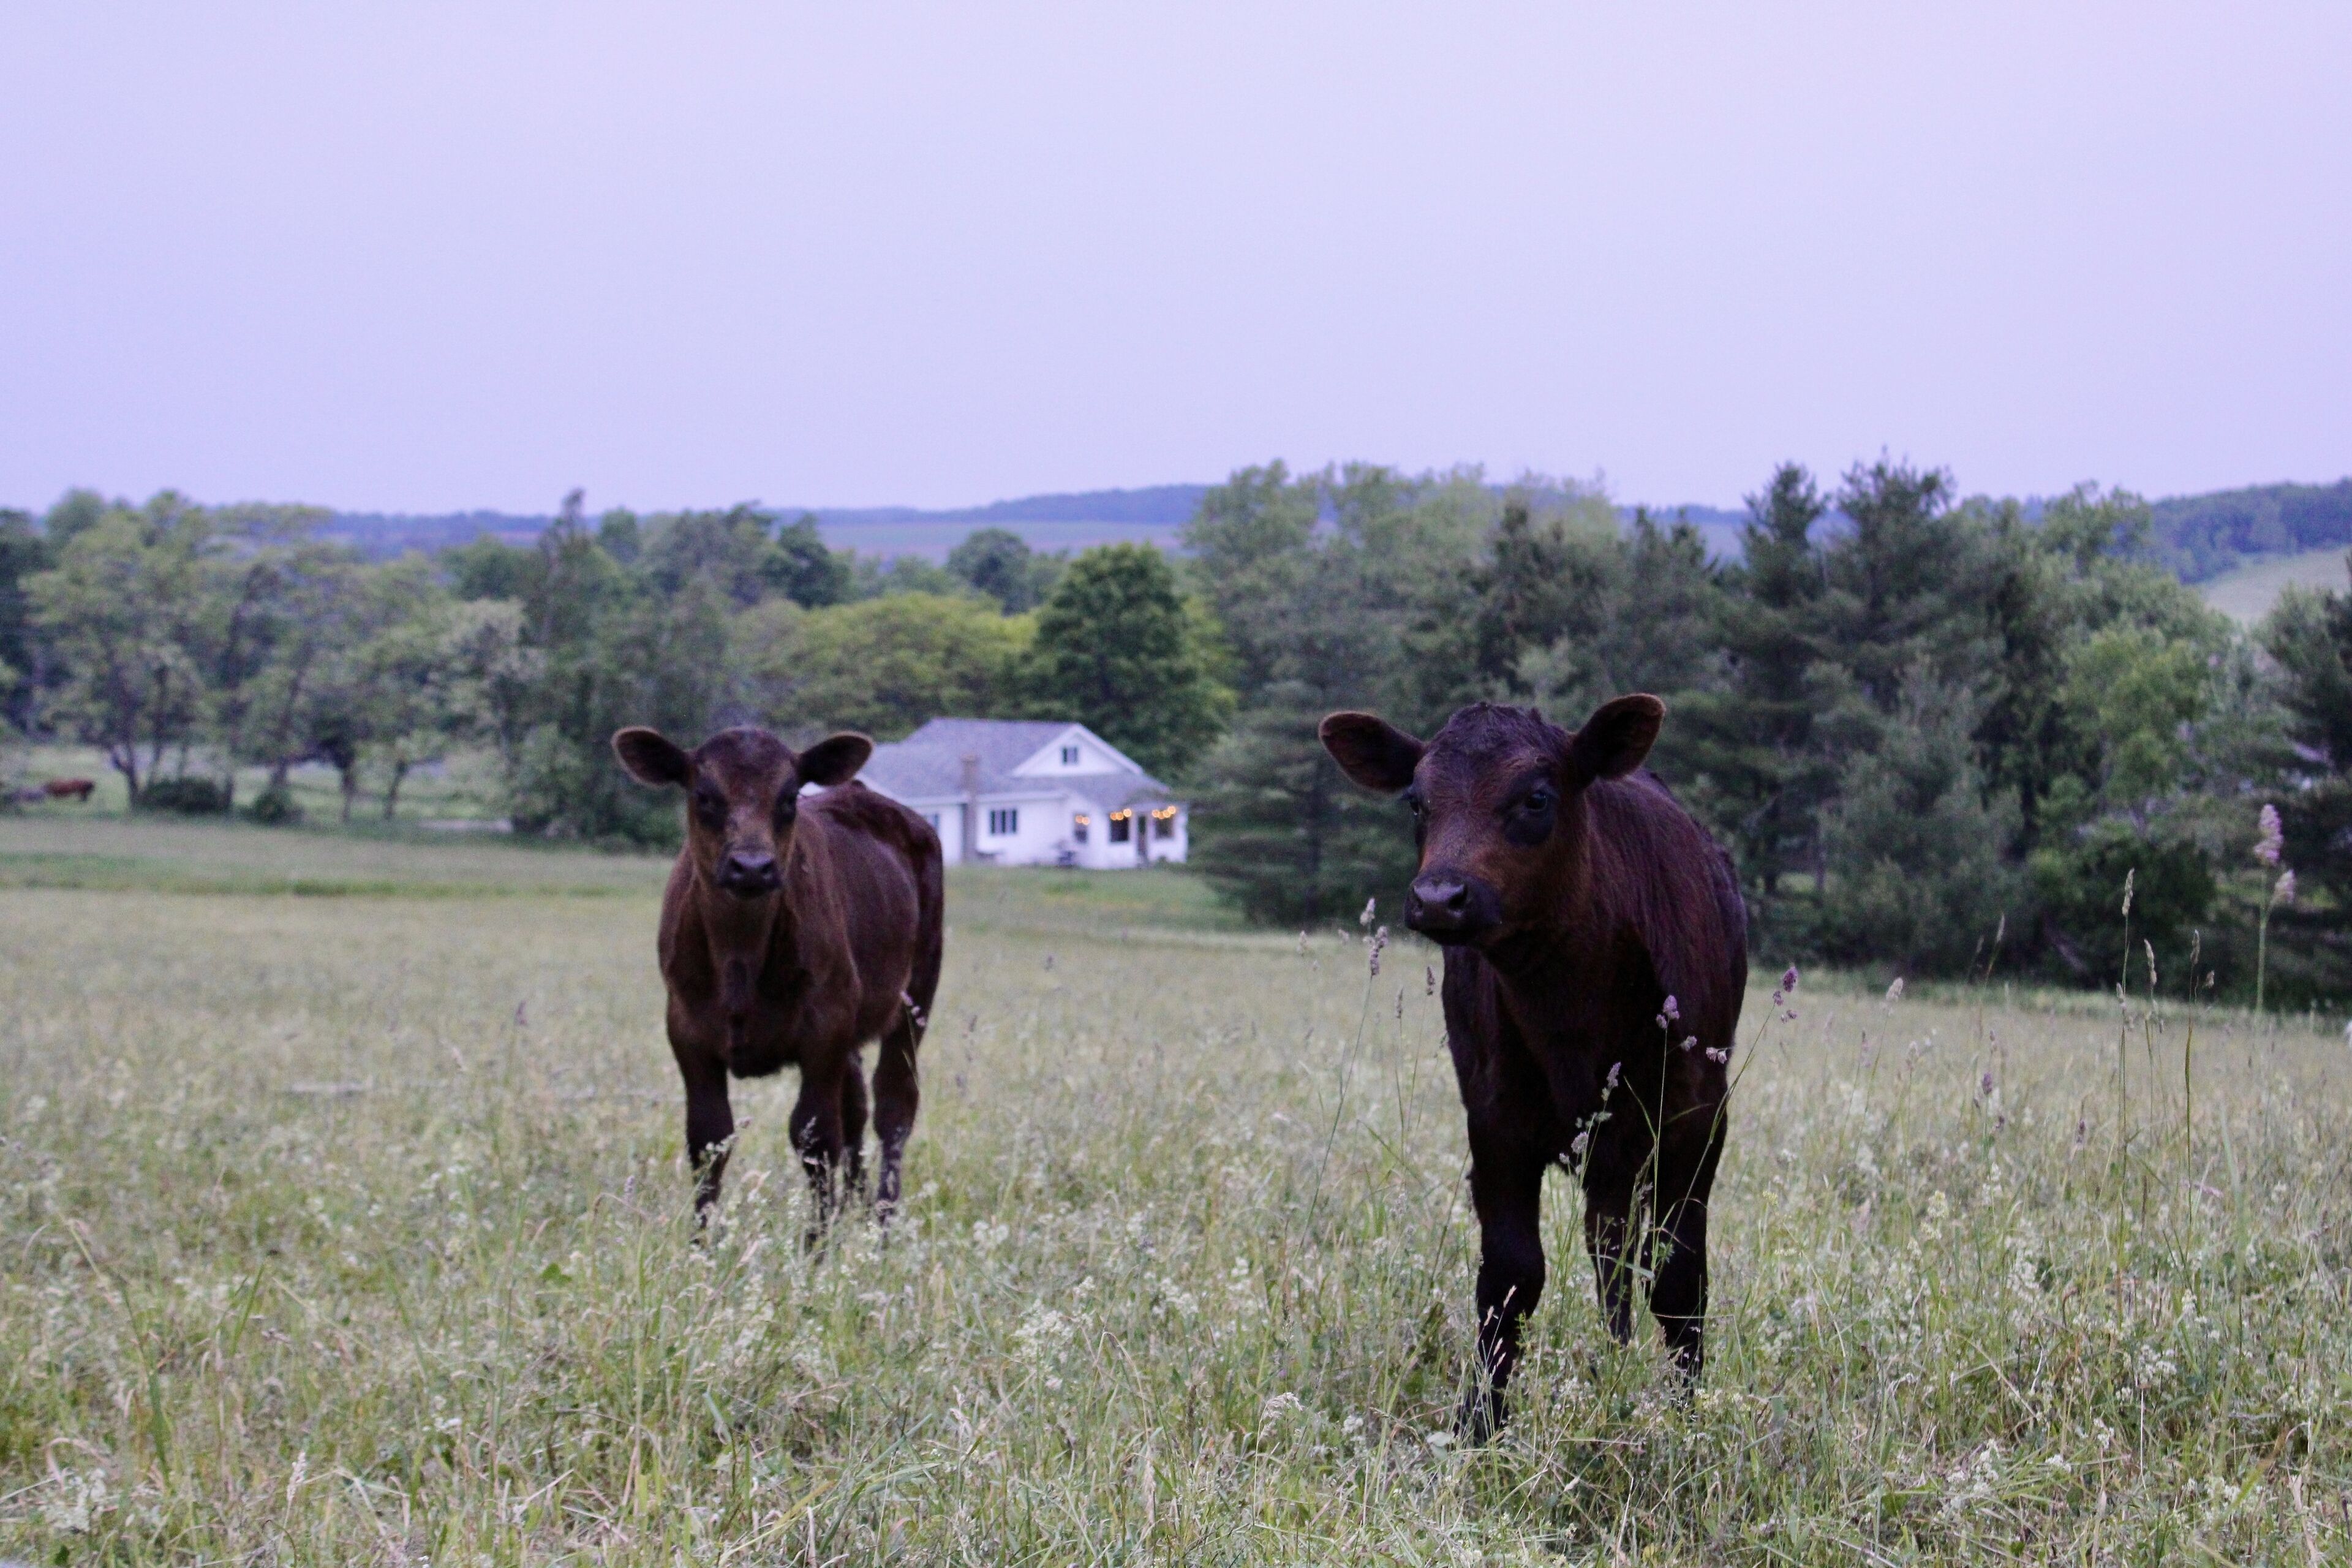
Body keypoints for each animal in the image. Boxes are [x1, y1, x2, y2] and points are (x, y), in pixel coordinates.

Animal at [612, 724, 944, 1234]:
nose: (752, 866)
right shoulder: (686, 1029)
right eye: (704, 796)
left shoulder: (825, 1027)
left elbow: (816, 1138)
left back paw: (881, 1228)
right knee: (857, 1105)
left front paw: (817, 1248)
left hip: (917, 993)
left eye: (790, 798)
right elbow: (708, 1139)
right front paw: (701, 1244)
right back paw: (855, 1210)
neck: (740, 960)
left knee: (893, 1108)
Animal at [1320, 695, 1746, 1437]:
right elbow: (1511, 1276)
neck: (1572, 1006)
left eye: (1537, 798)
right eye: (1416, 801)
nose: (1439, 897)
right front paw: (1482, 1421)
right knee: (1608, 1250)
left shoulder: (1698, 1120)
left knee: (1622, 1253)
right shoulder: (1494, 1121)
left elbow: (1678, 1275)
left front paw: (1686, 1413)